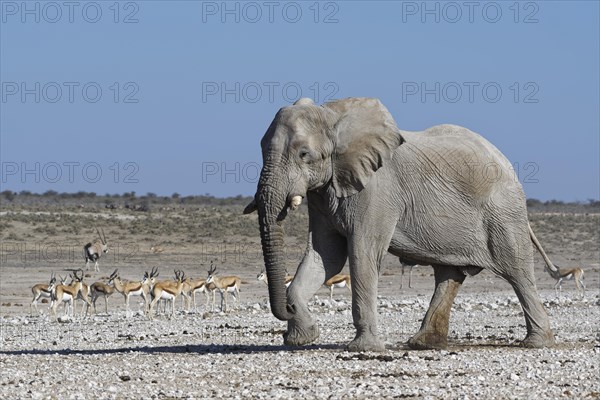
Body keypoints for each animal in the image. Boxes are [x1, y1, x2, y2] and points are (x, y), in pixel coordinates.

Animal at [244, 98, 556, 352]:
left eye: (304, 154)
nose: (287, 308)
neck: (335, 116)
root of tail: (507, 164)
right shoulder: (323, 192)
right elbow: (326, 255)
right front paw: (302, 339)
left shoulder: (377, 189)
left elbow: (362, 252)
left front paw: (364, 349)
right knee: (449, 274)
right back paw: (423, 344)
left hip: (503, 212)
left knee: (517, 271)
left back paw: (535, 342)